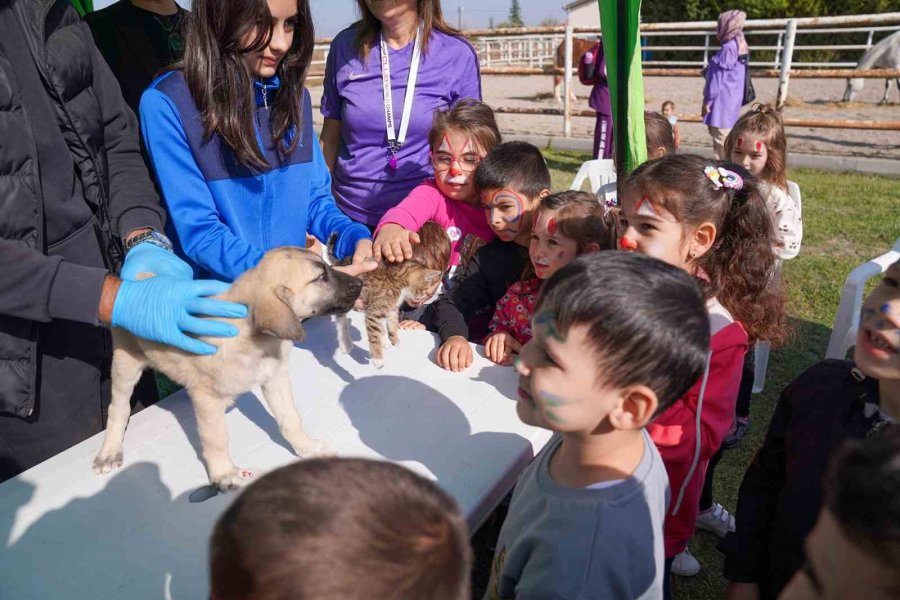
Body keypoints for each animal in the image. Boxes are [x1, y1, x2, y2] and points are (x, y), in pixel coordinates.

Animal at [90, 246, 358, 490]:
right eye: (321, 277)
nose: (358, 282)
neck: (254, 340)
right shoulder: (206, 398)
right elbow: (216, 440)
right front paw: (224, 473)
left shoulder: (275, 378)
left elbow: (290, 419)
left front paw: (308, 448)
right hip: (125, 362)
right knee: (118, 407)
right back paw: (110, 451)